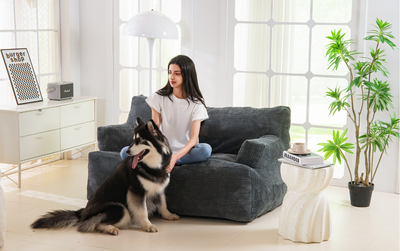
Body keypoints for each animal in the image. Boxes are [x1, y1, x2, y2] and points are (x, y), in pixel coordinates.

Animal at [31, 118, 180, 234]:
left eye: (140, 140)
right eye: (133, 140)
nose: (127, 151)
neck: (153, 166)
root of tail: (82, 213)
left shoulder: (160, 188)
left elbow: (163, 204)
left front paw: (168, 215)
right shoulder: (136, 192)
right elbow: (142, 211)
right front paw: (147, 225)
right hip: (121, 209)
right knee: (91, 225)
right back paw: (110, 229)